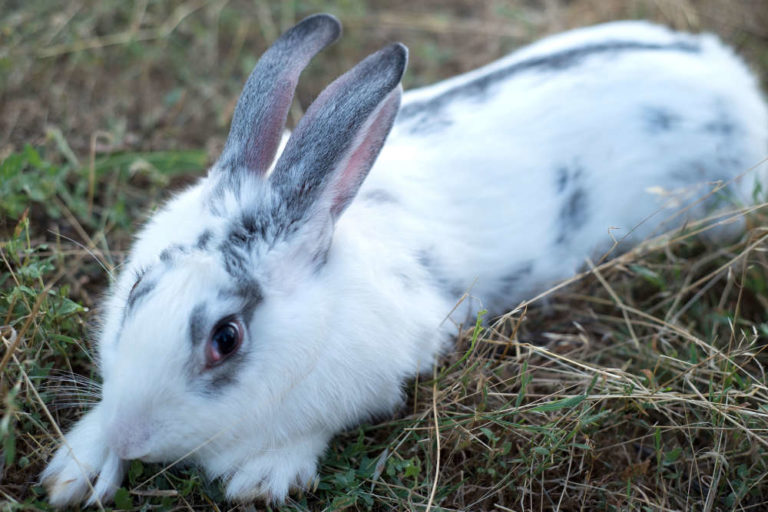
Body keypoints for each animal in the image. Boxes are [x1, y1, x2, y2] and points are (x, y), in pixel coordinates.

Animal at [43, 13, 768, 508]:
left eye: (227, 338)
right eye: (137, 291)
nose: (132, 437)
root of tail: (730, 78)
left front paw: (263, 477)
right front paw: (74, 469)